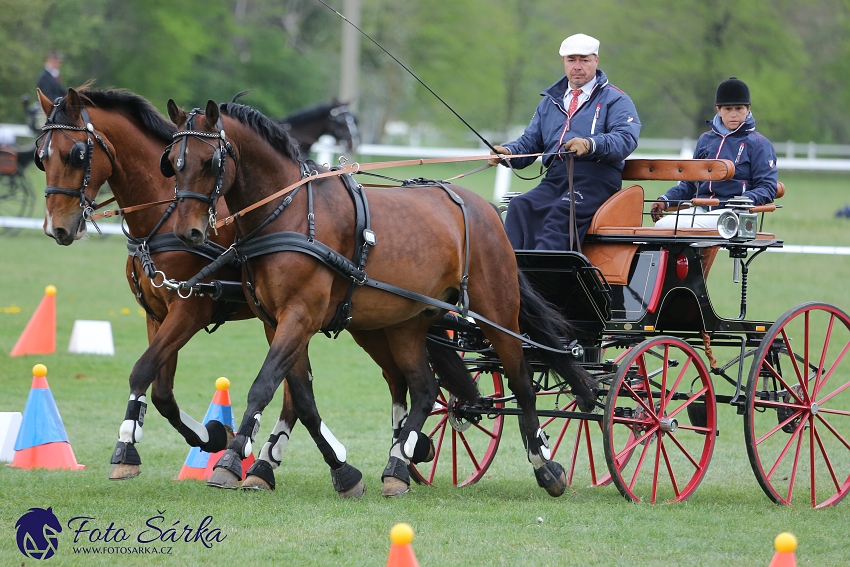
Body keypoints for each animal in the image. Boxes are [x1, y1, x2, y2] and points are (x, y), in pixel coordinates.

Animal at [166, 98, 596, 496]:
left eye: (210, 162)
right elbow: (300, 396)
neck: (289, 213)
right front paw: (331, 470)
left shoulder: (300, 316)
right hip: (406, 323)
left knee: (521, 381)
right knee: (423, 387)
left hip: (499, 311)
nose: (188, 232)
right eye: (171, 162)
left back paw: (546, 466)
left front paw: (232, 459)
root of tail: (484, 208)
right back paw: (398, 466)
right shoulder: (277, 322)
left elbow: (264, 384)